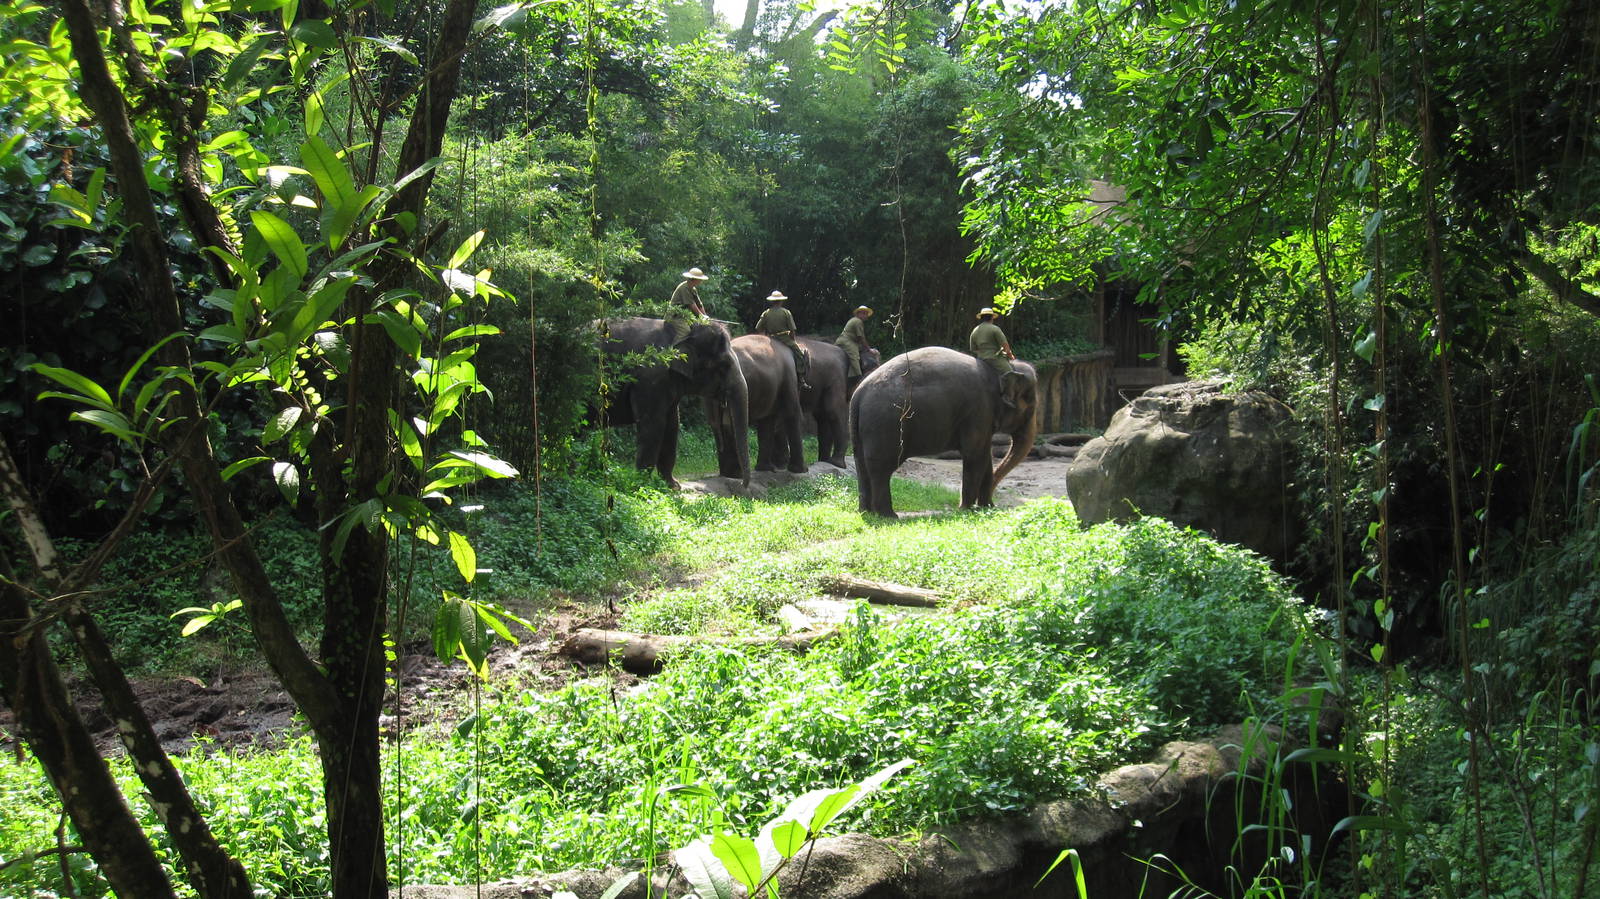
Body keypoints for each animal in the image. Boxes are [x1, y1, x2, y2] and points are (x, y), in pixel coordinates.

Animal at [600, 317, 749, 488]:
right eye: (724, 365)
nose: (741, 484)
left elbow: (672, 424)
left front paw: (673, 486)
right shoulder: (650, 379)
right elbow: (653, 424)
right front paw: (641, 484)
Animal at [714, 334, 808, 476]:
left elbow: (767, 421)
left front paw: (765, 469)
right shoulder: (789, 377)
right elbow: (793, 414)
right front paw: (801, 470)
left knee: (718, 424)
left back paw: (728, 474)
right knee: (730, 424)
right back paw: (736, 474)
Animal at [850, 346, 1039, 518]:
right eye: (1030, 404)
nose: (994, 504)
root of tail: (858, 394)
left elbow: (985, 456)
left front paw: (987, 508)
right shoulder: (979, 410)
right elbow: (974, 455)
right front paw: (966, 510)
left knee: (862, 465)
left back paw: (866, 512)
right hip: (885, 425)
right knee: (881, 469)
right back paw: (888, 516)